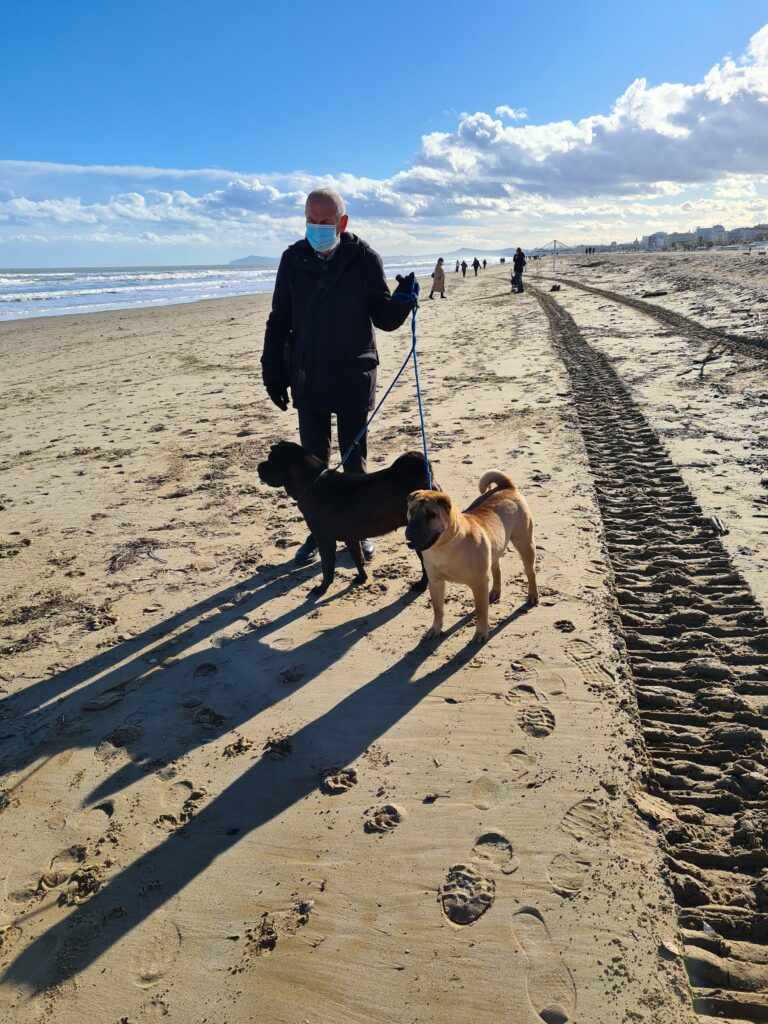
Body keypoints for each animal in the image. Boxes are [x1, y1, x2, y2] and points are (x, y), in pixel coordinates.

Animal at [259, 442, 438, 598]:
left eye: (271, 460)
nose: (259, 466)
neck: (312, 483)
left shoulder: (325, 540)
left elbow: (327, 569)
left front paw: (322, 588)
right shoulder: (351, 538)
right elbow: (358, 559)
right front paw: (362, 577)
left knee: (426, 566)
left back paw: (422, 585)